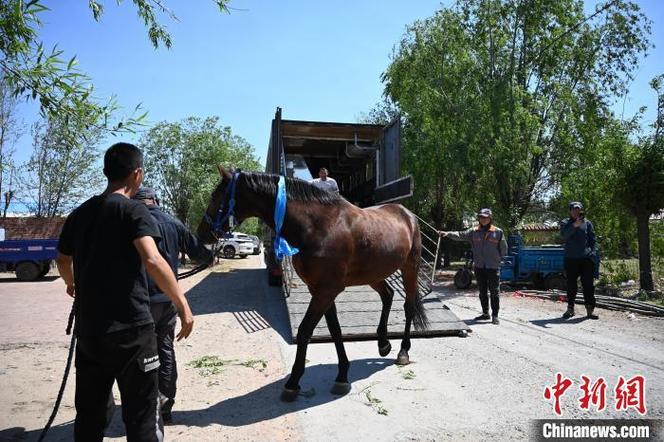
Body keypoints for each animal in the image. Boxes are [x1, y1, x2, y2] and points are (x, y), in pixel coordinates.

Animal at [196, 166, 430, 400]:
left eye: (215, 196)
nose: (202, 233)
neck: (319, 226)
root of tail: (407, 214)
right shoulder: (319, 289)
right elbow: (334, 330)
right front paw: (342, 375)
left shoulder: (327, 290)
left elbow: (305, 330)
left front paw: (293, 382)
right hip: (373, 274)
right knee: (388, 295)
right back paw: (383, 344)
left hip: (410, 268)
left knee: (408, 306)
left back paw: (403, 351)